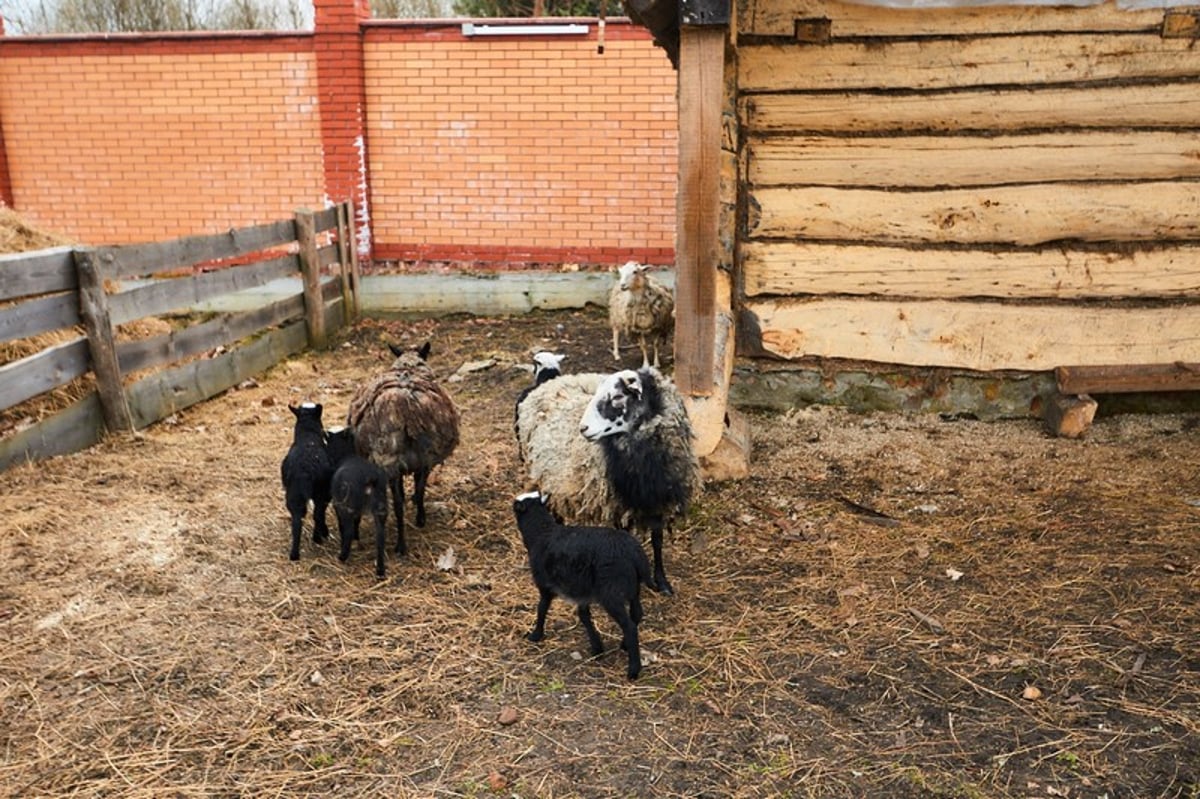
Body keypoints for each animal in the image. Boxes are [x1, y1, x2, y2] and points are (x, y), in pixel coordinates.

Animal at [279, 400, 333, 563]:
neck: (308, 437)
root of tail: (306, 469)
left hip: (294, 494)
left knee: (297, 519)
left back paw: (294, 555)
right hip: (321, 491)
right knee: (317, 513)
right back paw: (319, 536)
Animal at [324, 427, 388, 575]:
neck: (346, 456)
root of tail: (370, 479)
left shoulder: (339, 505)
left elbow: (343, 527)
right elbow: (357, 522)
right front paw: (357, 539)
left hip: (348, 506)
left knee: (348, 531)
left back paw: (342, 557)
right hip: (380, 509)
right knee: (380, 538)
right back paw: (380, 570)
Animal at [348, 338, 463, 556]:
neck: (408, 367)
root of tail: (404, 407)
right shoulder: (424, 462)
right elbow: (418, 489)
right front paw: (419, 516)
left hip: (391, 460)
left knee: (400, 500)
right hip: (404, 457)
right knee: (404, 500)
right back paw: (403, 543)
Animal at [508, 484, 652, 676]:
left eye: (516, 506)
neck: (542, 533)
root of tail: (634, 552)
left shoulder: (545, 585)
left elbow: (542, 609)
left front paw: (535, 635)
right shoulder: (582, 590)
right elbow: (583, 615)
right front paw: (597, 648)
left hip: (611, 593)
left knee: (629, 626)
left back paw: (633, 670)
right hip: (632, 586)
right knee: (637, 613)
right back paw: (624, 646)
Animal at [513, 364, 700, 595]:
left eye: (618, 396)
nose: (583, 428)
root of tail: (544, 385)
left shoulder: (657, 499)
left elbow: (657, 540)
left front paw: (662, 582)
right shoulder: (619, 504)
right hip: (539, 475)